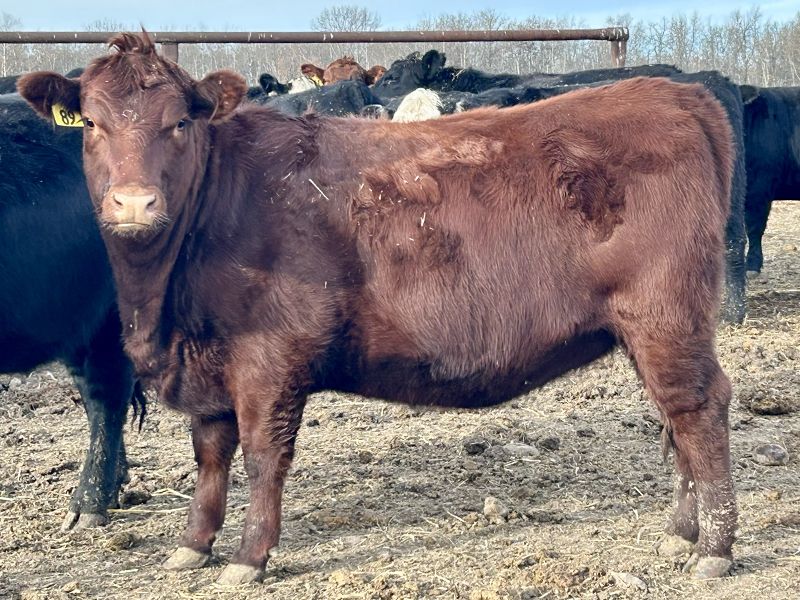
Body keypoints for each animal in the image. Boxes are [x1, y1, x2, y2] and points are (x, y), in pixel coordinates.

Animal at [19, 32, 737, 585]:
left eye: (180, 122)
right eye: (91, 124)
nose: (134, 203)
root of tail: (673, 94)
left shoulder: (271, 362)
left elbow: (261, 458)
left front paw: (249, 558)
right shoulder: (208, 366)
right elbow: (211, 457)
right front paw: (193, 546)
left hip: (666, 315)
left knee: (697, 408)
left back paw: (714, 548)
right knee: (674, 416)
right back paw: (681, 532)